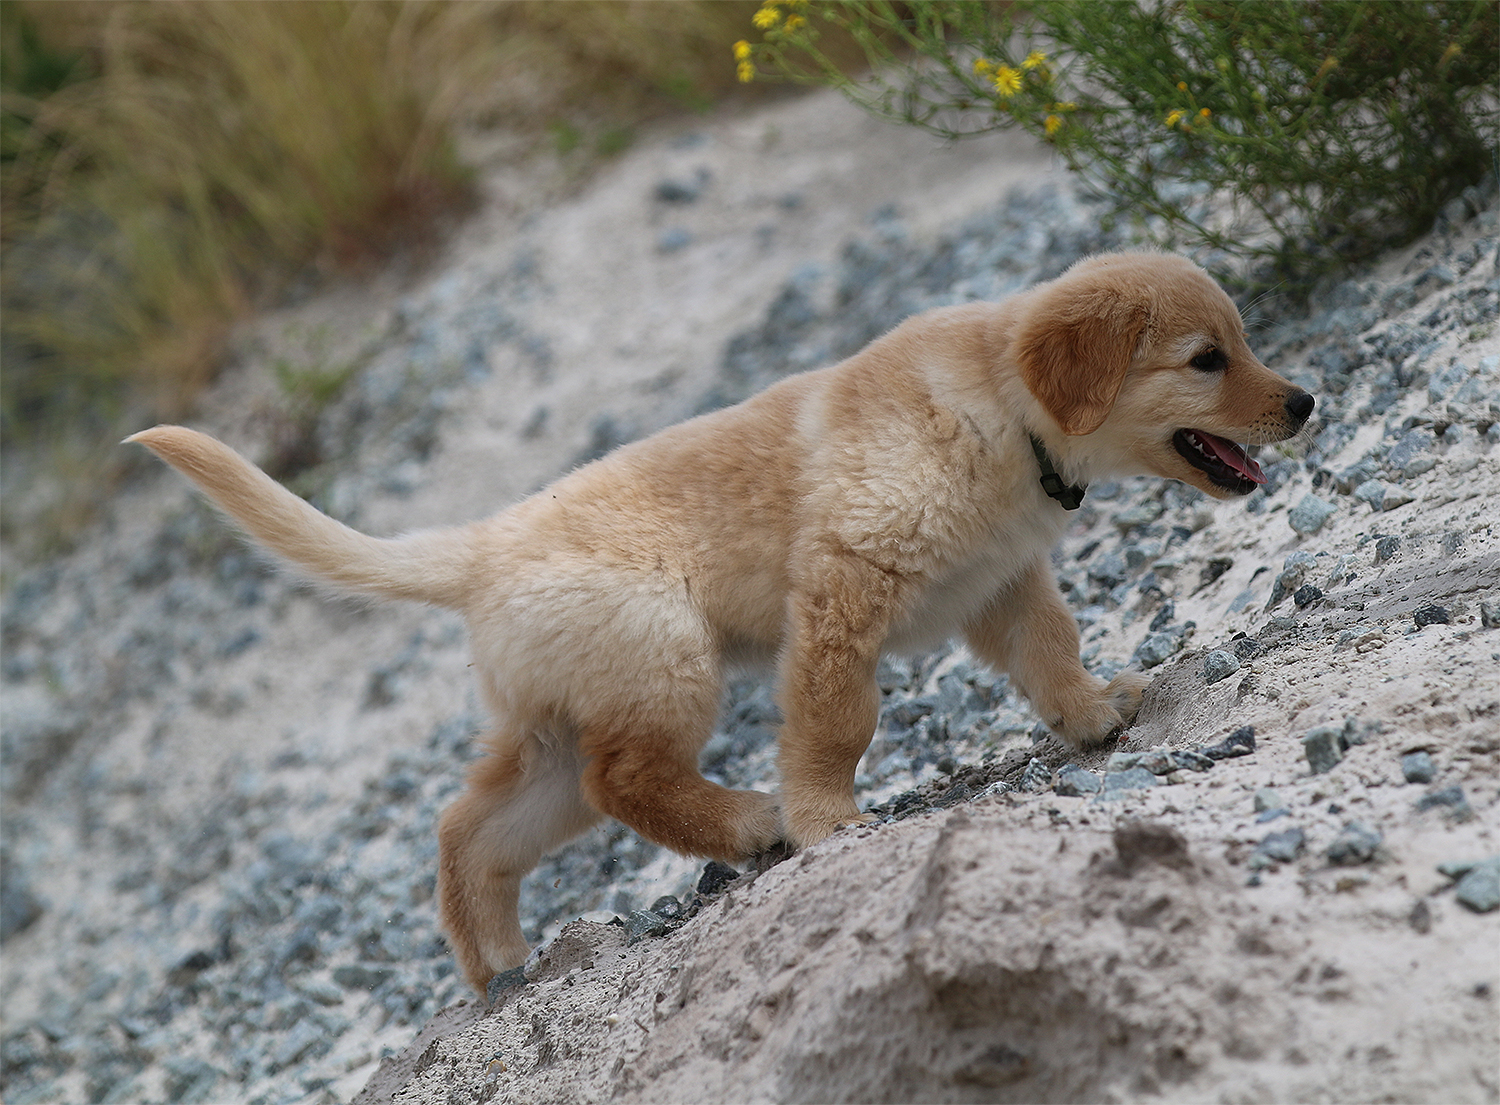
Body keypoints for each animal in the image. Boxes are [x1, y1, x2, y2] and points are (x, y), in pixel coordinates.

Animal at [129, 251, 1314, 993]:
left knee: (473, 825)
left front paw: (1095, 714)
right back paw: (753, 824)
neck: (999, 411)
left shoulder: (999, 584)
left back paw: (492, 958)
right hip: (664, 660)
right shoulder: (841, 590)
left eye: (1242, 342)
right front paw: (829, 819)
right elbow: (836, 721)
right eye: (1207, 359)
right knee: (626, 780)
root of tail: (483, 547)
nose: (1303, 403)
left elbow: (1050, 650)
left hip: (562, 720)